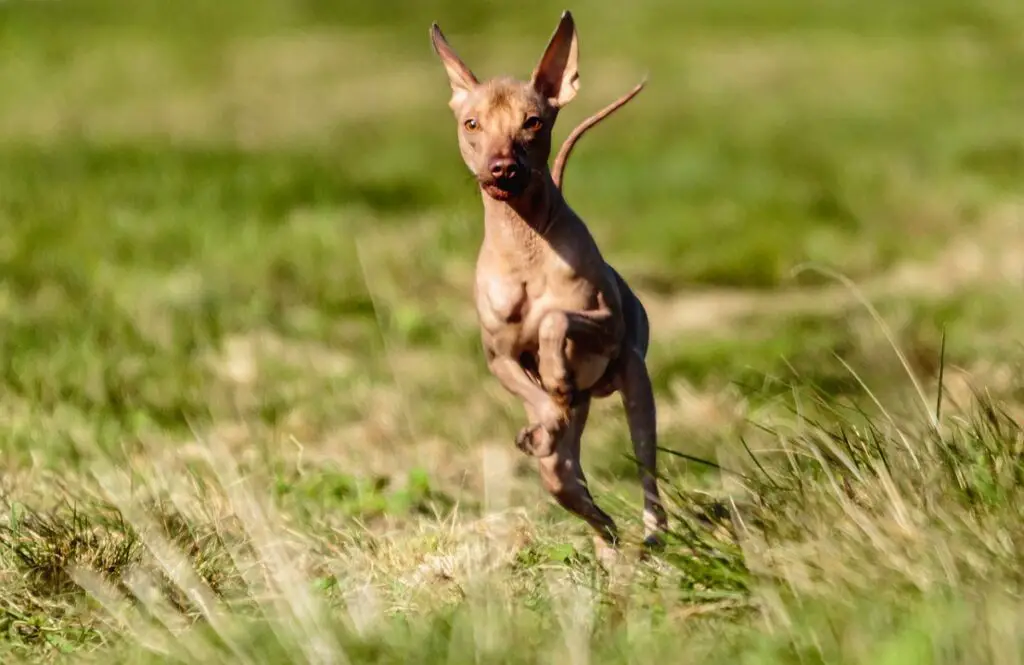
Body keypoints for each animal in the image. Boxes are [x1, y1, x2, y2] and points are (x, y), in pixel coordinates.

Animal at [428, 9, 667, 561]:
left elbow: (556, 317)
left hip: (637, 386)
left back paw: (650, 533)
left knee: (647, 471)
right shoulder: (498, 357)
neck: (525, 245)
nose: (502, 168)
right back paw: (601, 531)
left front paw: (556, 373)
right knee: (567, 482)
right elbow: (535, 395)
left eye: (532, 122)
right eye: (471, 123)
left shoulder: (607, 323)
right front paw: (543, 418)